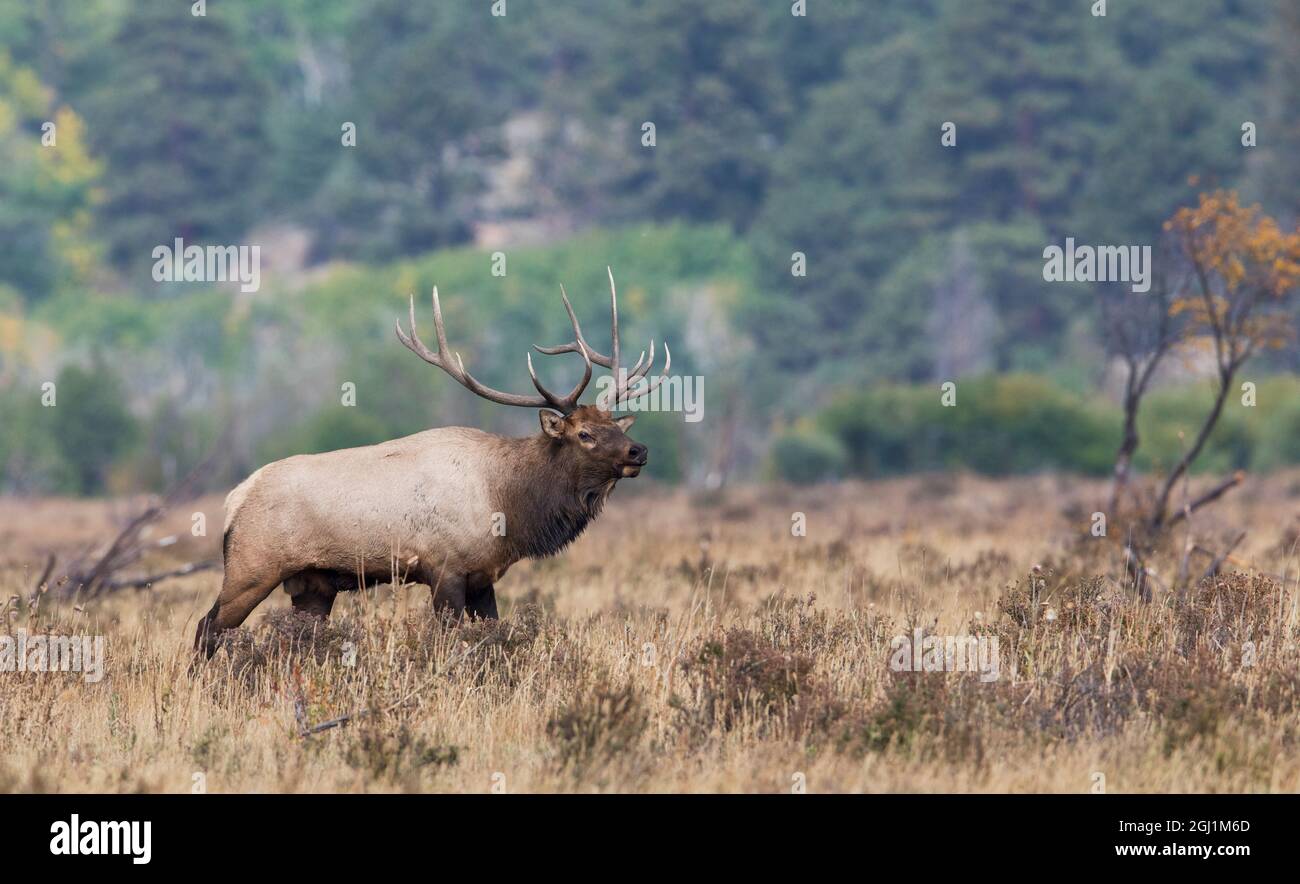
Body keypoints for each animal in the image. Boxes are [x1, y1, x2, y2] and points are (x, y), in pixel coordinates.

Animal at [194, 270, 669, 656]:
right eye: (584, 434)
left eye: (615, 426)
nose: (639, 451)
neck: (507, 504)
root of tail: (234, 500)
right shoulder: (444, 568)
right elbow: (449, 641)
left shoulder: (482, 576)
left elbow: (493, 634)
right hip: (251, 567)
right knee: (207, 627)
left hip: (313, 584)